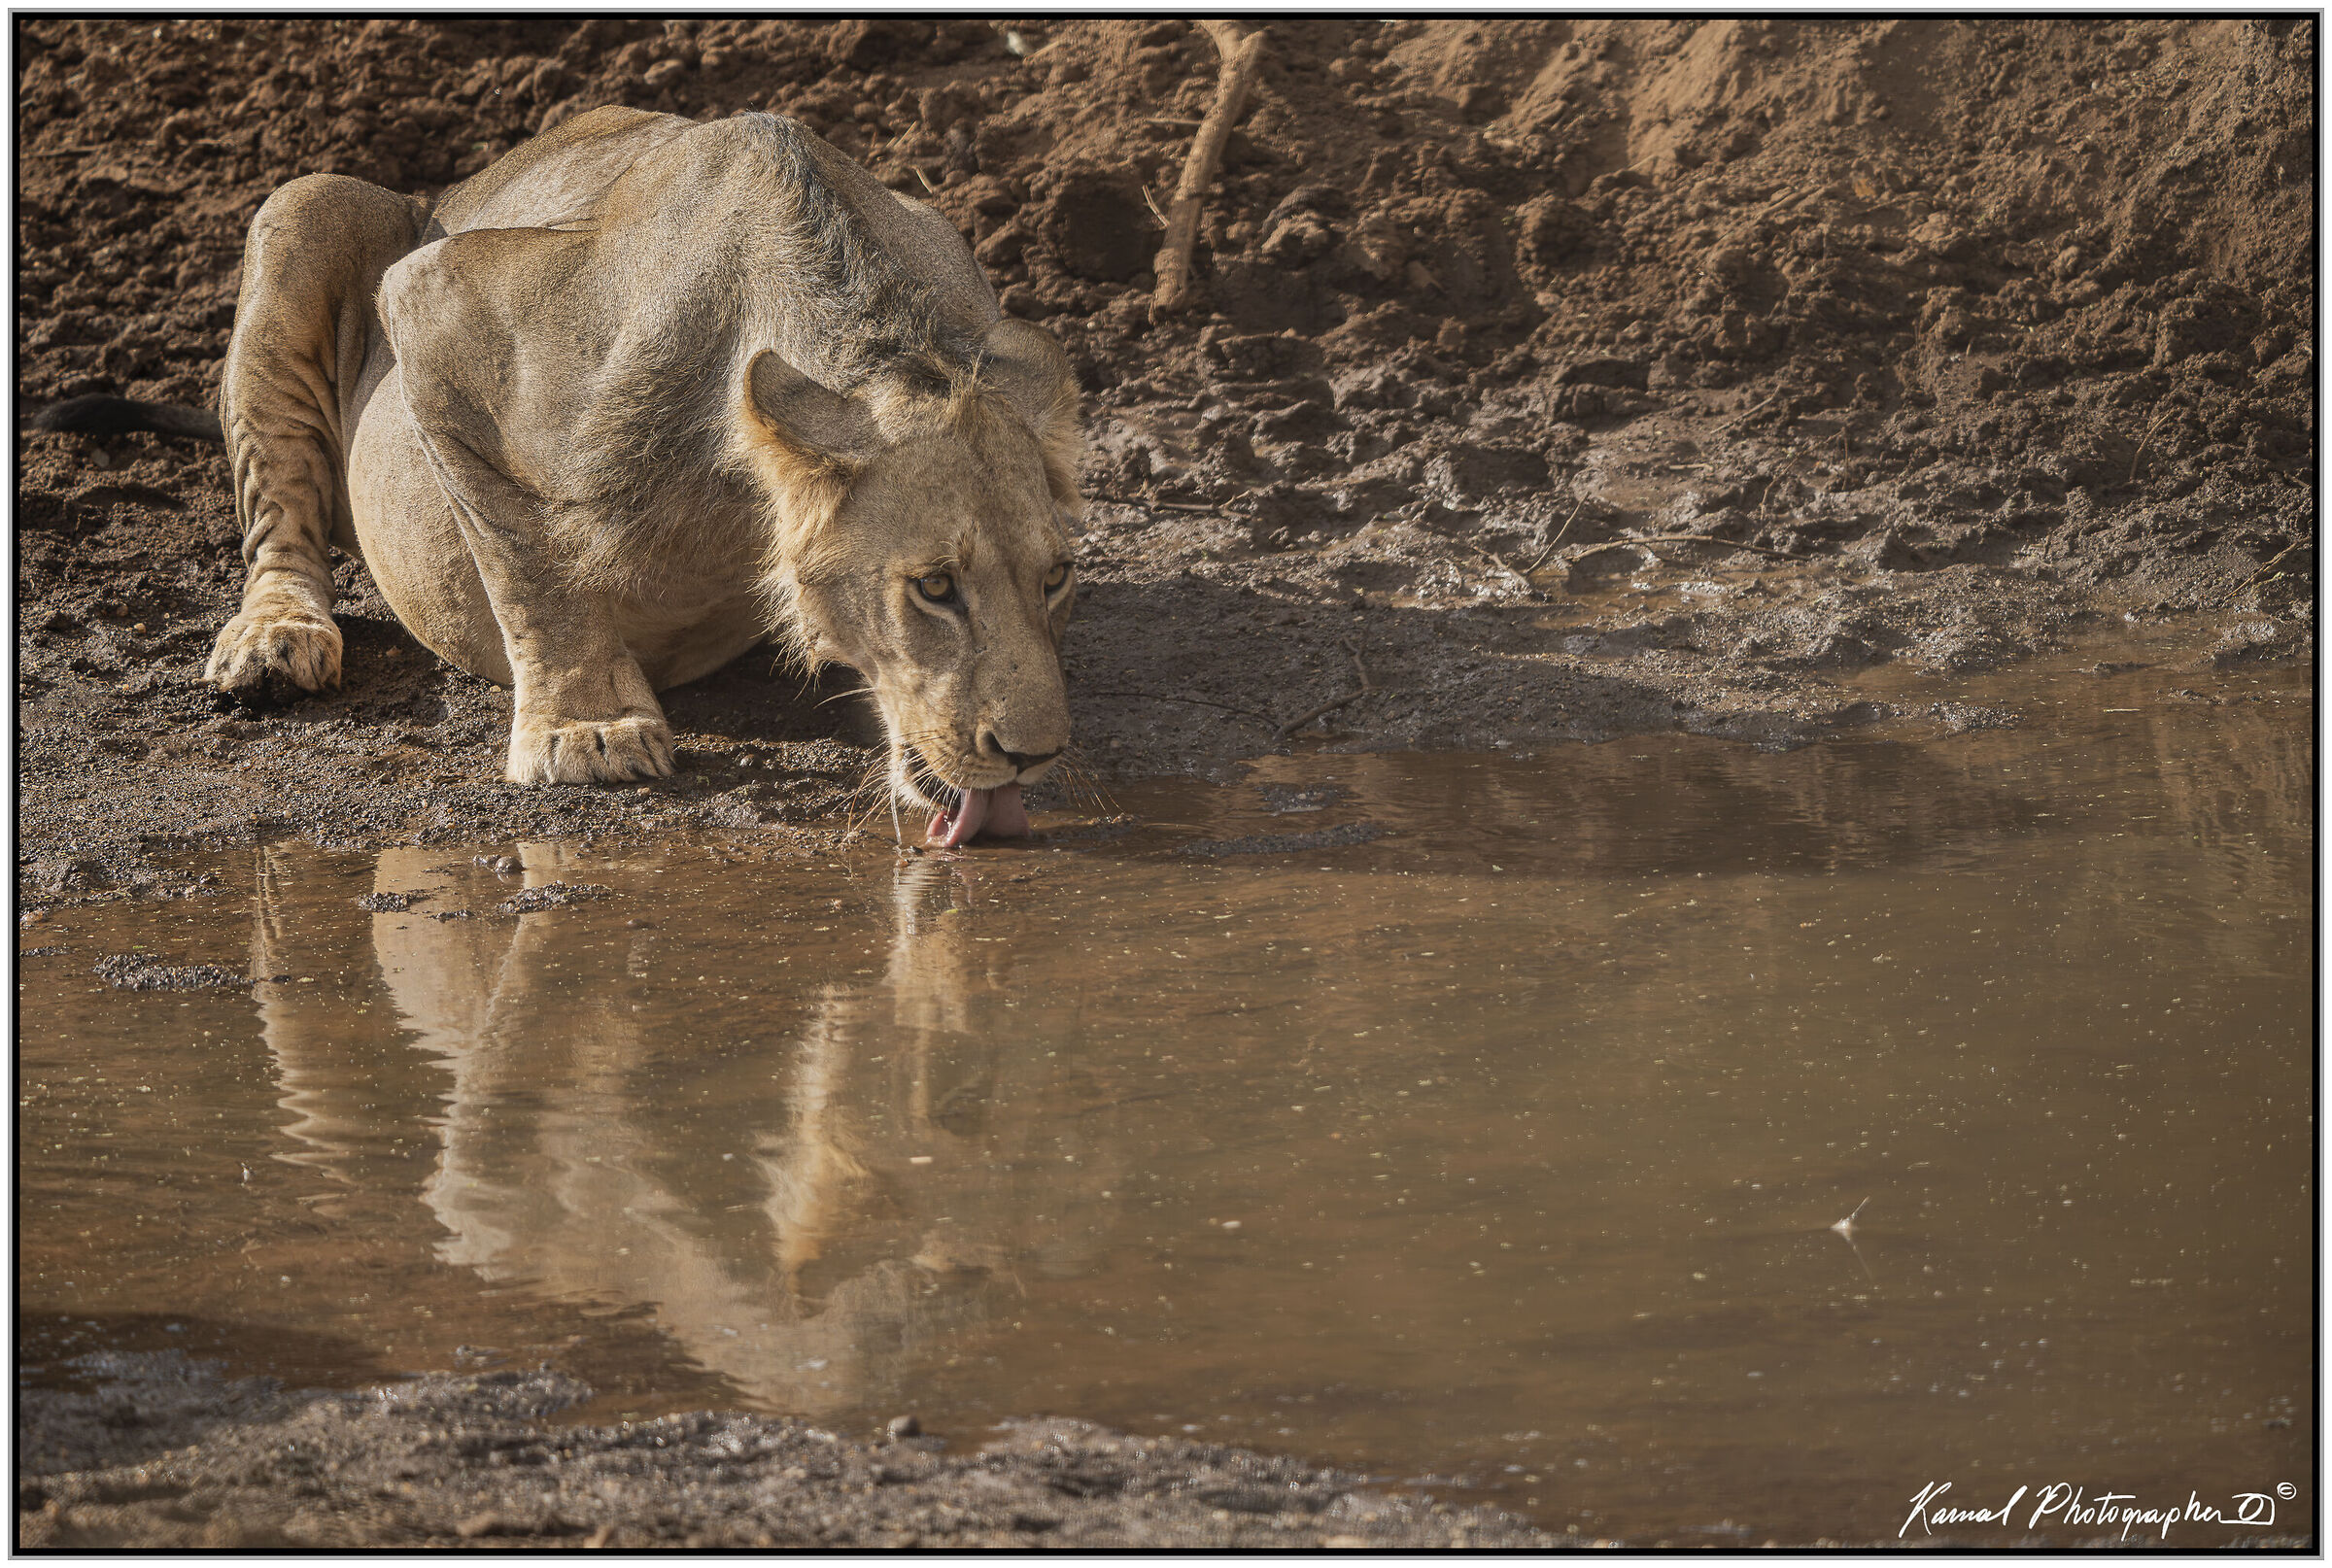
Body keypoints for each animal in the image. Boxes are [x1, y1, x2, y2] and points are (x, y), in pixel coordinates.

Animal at [55, 108, 1083, 845]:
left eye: (1058, 578)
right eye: (934, 588)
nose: (1035, 757)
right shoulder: (436, 300)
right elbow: (528, 559)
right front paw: (588, 734)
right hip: (306, 206)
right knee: (280, 525)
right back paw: (275, 638)